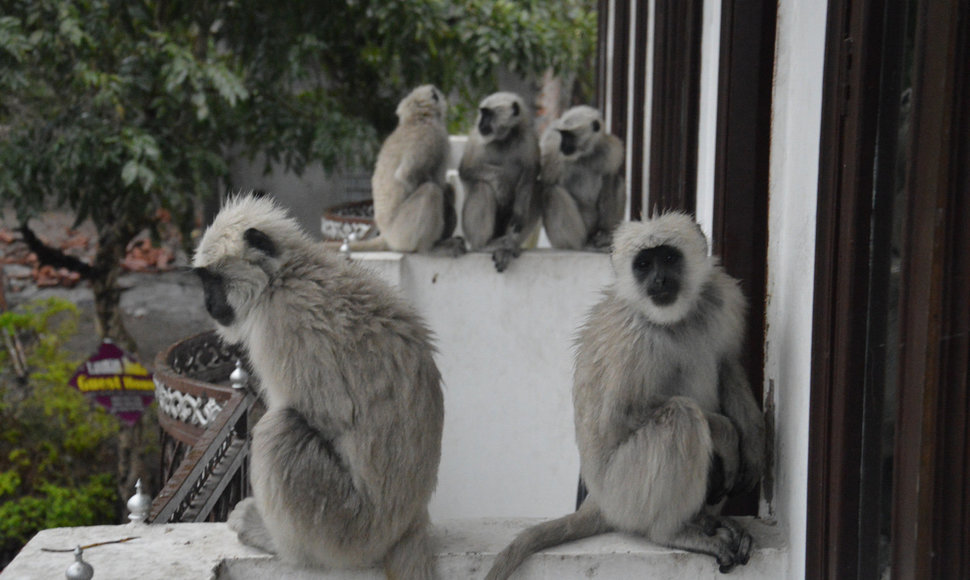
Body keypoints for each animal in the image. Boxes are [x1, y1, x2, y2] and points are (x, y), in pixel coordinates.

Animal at [190, 193, 446, 576]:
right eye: (204, 282)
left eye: (214, 281)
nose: (207, 303)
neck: (285, 275)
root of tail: (409, 522)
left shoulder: (280, 322)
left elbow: (331, 416)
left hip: (344, 526)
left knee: (280, 429)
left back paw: (278, 543)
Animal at [458, 91, 540, 272]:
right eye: (482, 114)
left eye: (488, 115)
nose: (481, 123)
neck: (504, 139)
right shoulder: (477, 139)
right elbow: (465, 170)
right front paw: (501, 182)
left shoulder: (528, 137)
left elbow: (531, 173)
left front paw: (519, 211)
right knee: (482, 186)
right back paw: (484, 245)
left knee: (539, 190)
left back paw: (508, 246)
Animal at [484, 214, 764, 580]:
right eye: (644, 264)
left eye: (669, 258)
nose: (659, 280)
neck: (674, 320)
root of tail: (600, 501)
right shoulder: (633, 339)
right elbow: (619, 416)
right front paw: (728, 435)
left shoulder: (722, 297)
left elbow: (728, 364)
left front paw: (755, 446)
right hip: (624, 490)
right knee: (682, 416)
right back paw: (672, 531)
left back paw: (704, 518)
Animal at [540, 105, 624, 250]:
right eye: (563, 135)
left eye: (569, 136)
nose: (563, 145)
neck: (583, 156)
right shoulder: (552, 148)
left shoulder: (611, 150)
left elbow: (610, 175)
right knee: (551, 192)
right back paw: (577, 245)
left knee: (614, 179)